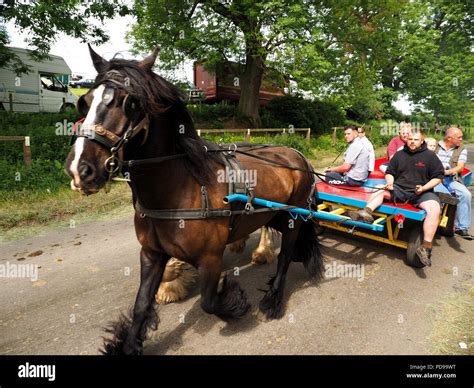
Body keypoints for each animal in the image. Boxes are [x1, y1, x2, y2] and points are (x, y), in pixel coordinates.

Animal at [64, 45, 326, 354]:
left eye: (131, 103)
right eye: (85, 102)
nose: (80, 169)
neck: (179, 188)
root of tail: (298, 155)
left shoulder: (210, 258)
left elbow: (209, 302)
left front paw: (235, 304)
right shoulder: (151, 254)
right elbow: (141, 304)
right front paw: (127, 345)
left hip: (293, 218)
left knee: (285, 255)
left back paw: (273, 298)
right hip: (272, 212)